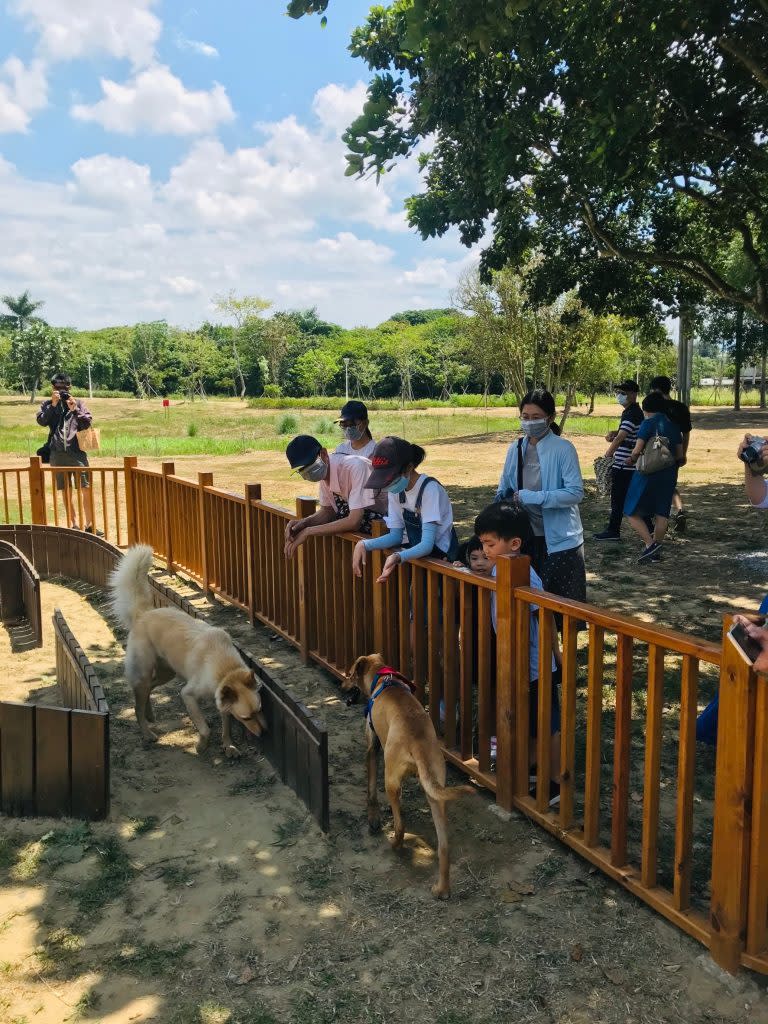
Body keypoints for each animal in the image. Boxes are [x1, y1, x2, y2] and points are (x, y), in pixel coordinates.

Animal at [109, 548, 268, 757]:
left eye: (259, 710)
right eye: (246, 717)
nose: (264, 734)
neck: (226, 669)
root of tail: (144, 614)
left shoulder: (222, 701)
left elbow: (226, 727)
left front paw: (229, 746)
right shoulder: (188, 695)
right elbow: (206, 729)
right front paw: (201, 746)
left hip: (167, 672)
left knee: (149, 689)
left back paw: (150, 715)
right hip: (144, 673)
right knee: (137, 705)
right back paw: (147, 732)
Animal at [344, 655, 475, 897]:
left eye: (350, 675)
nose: (342, 685)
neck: (384, 679)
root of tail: (418, 743)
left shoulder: (372, 747)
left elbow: (371, 789)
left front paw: (373, 817)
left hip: (390, 778)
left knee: (400, 827)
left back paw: (395, 845)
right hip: (435, 792)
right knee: (444, 846)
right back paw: (442, 889)